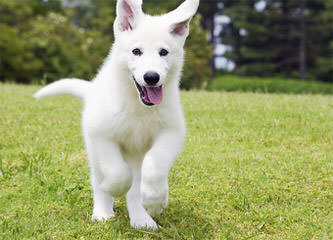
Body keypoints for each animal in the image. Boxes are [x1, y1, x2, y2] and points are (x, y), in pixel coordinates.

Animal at [34, 0, 197, 230]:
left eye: (164, 52)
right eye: (136, 51)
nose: (152, 77)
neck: (138, 106)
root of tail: (91, 90)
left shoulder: (171, 132)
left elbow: (155, 164)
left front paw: (155, 199)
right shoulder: (101, 135)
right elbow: (116, 171)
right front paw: (113, 188)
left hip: (136, 155)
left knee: (136, 187)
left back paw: (142, 219)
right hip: (94, 151)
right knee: (99, 179)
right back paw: (103, 211)